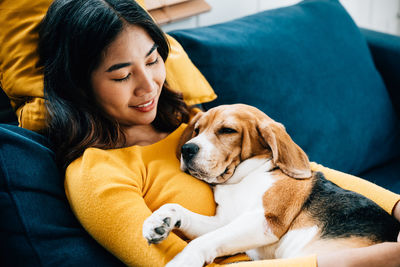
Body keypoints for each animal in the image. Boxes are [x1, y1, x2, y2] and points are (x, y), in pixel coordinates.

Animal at [142, 104, 398, 267]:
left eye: (227, 130)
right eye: (197, 130)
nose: (187, 149)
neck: (243, 178)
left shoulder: (265, 221)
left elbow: (203, 241)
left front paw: (183, 260)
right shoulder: (224, 221)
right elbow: (179, 210)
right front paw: (159, 221)